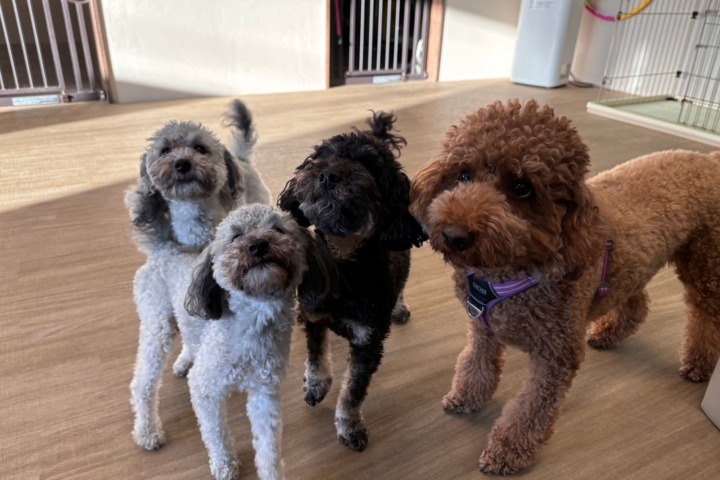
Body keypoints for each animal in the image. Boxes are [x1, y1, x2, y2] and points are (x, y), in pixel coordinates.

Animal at [126, 100, 271, 451]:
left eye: (200, 148)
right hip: (157, 323)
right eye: (164, 150)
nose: (182, 164)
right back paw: (147, 430)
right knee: (142, 383)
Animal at [184, 203, 334, 480]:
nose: (258, 245)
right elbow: (216, 434)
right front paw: (224, 464)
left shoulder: (265, 393)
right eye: (235, 237)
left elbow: (268, 448)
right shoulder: (203, 388)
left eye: (278, 229)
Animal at [278, 111, 426, 452]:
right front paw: (316, 385)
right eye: (323, 156)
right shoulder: (315, 316)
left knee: (402, 280)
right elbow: (316, 357)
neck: (343, 266)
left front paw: (349, 426)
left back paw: (399, 308)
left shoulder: (368, 343)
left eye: (370, 167)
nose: (329, 176)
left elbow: (353, 391)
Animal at [409, 98, 720, 475]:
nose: (455, 236)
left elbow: (530, 410)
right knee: (638, 302)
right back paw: (609, 332)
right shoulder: (483, 329)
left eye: (522, 188)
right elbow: (475, 365)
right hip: (632, 267)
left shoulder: (556, 356)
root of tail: (708, 159)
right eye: (464, 174)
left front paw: (508, 450)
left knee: (706, 317)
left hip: (704, 263)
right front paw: (467, 396)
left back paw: (699, 364)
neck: (507, 274)